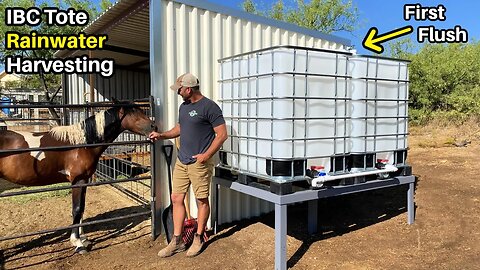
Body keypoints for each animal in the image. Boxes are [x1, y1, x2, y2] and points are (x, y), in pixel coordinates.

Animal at [0, 100, 155, 254]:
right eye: (134, 114)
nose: (154, 126)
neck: (81, 144)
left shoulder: (84, 180)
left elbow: (82, 209)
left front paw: (83, 238)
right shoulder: (78, 181)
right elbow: (77, 209)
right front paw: (78, 243)